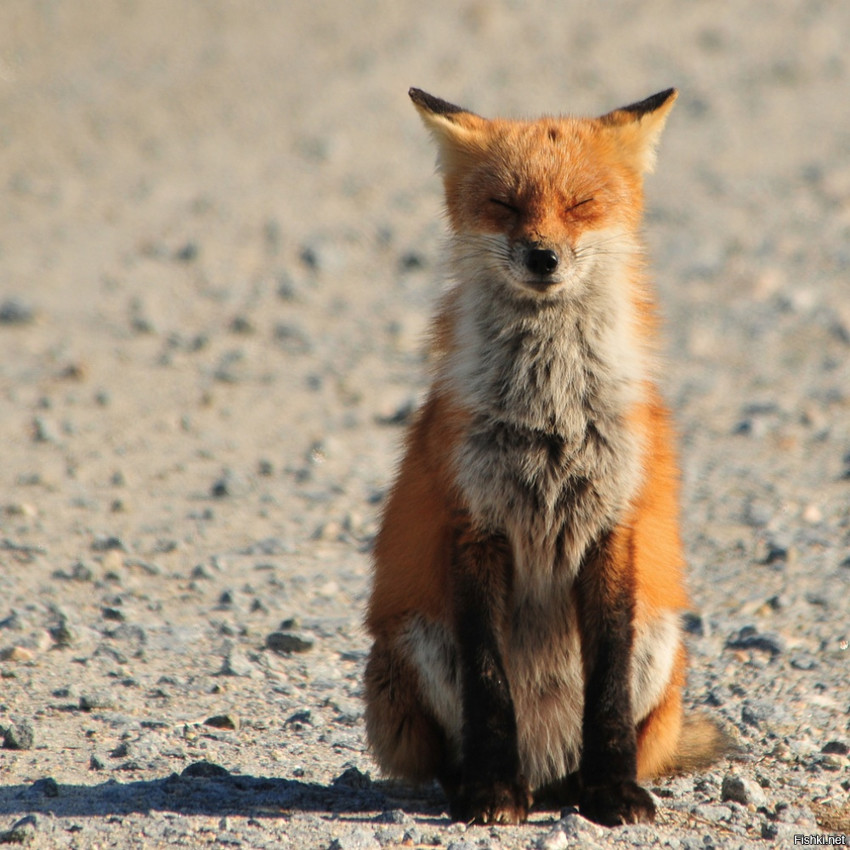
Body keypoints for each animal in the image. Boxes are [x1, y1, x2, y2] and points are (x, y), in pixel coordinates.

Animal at [362, 89, 724, 824]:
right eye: (505, 204)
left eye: (581, 204)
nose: (543, 257)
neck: (550, 411)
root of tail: (549, 763)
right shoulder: (475, 527)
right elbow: (489, 684)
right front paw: (491, 792)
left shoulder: (613, 526)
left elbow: (607, 688)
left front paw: (613, 791)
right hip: (413, 647)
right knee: (449, 751)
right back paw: (489, 784)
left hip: (662, 642)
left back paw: (578, 784)